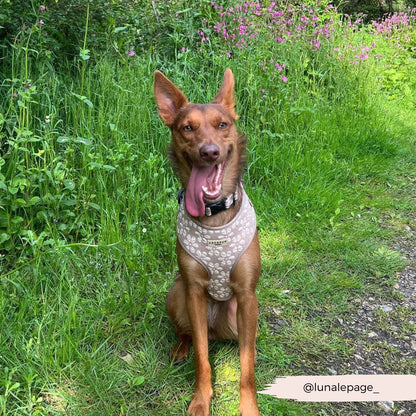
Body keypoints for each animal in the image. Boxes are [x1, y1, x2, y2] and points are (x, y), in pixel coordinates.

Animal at [154, 70, 262, 414]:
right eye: (187, 128)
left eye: (222, 124)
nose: (210, 151)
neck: (214, 215)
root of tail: (216, 328)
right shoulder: (193, 291)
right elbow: (202, 358)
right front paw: (201, 401)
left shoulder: (247, 295)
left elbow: (246, 366)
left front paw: (249, 407)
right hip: (177, 295)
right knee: (189, 334)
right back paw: (180, 348)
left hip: (243, 313)